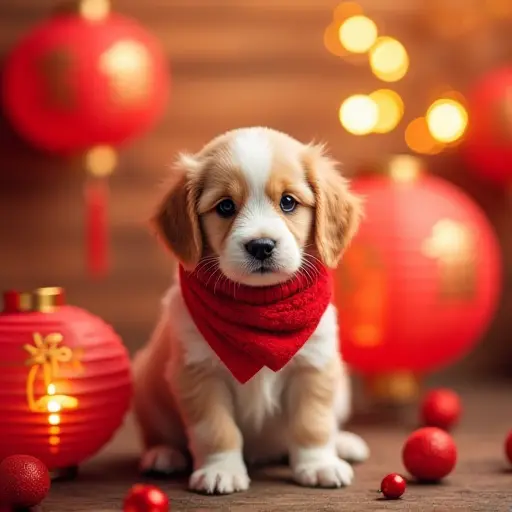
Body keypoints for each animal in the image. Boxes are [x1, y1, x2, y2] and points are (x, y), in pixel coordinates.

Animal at [132, 126, 368, 494]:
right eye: (226, 206)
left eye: (288, 202)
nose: (261, 246)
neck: (259, 306)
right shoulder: (198, 372)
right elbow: (216, 430)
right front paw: (221, 470)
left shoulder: (314, 366)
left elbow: (313, 423)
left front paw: (319, 464)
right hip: (146, 384)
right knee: (157, 433)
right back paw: (163, 454)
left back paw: (343, 443)